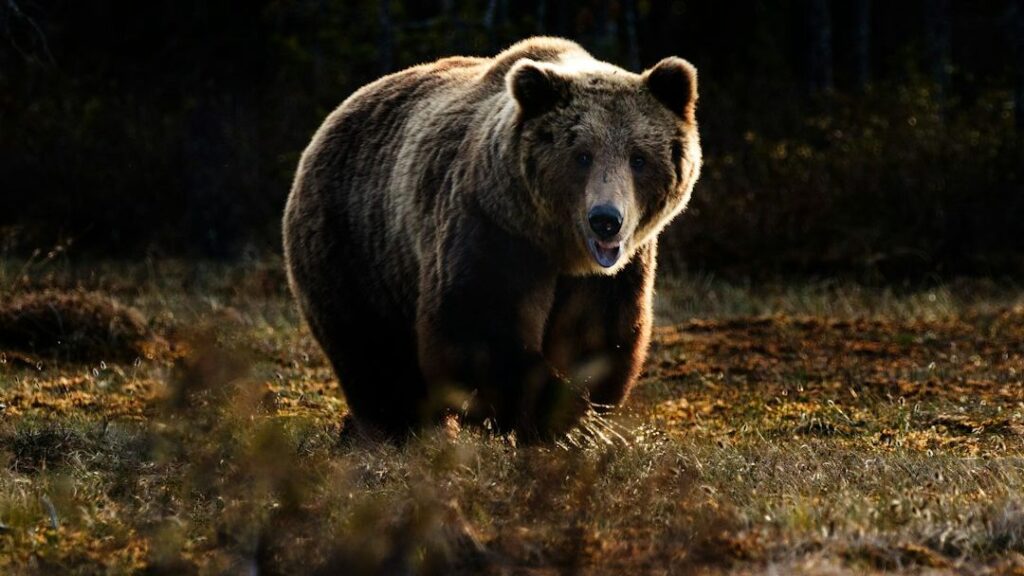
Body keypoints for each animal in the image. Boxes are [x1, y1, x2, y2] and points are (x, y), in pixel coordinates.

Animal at [283, 37, 701, 440]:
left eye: (638, 158)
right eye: (582, 155)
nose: (606, 220)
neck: (557, 245)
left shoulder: (614, 272)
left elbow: (598, 336)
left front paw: (580, 417)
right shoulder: (492, 229)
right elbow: (478, 327)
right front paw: (555, 417)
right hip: (355, 243)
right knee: (373, 350)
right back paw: (399, 428)